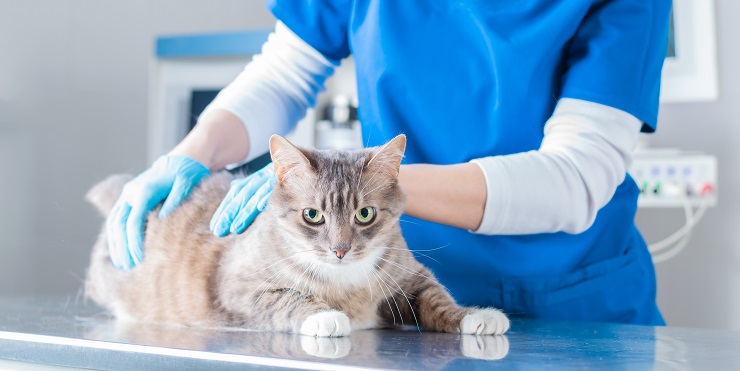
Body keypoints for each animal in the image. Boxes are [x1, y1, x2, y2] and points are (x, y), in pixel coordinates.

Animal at [85, 135, 508, 338]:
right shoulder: (237, 288)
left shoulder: (409, 276)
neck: (345, 283)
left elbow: (436, 297)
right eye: (312, 215)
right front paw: (325, 317)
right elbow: (288, 297)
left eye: (365, 214)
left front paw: (475, 316)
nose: (340, 250)